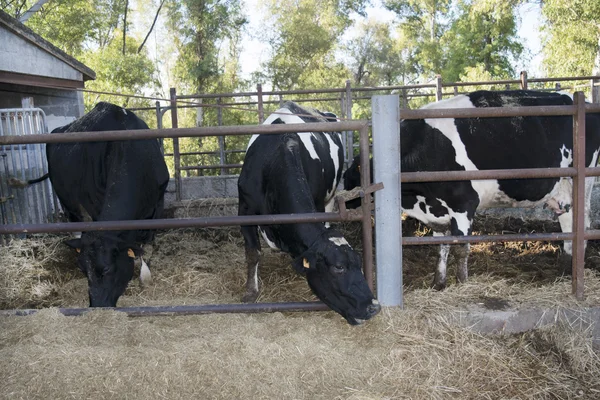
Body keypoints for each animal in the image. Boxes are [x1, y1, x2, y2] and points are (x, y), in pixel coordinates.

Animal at [11, 102, 169, 306]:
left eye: (107, 269)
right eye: (84, 271)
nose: (97, 306)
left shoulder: (158, 203)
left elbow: (148, 244)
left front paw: (146, 276)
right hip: (67, 202)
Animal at [236, 101, 380, 324]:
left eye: (359, 262)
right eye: (338, 267)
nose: (373, 307)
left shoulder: (318, 202)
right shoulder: (245, 209)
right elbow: (253, 253)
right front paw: (250, 293)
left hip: (330, 196)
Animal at [342, 90, 600, 290]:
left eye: (348, 177)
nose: (341, 202)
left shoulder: (463, 204)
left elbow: (461, 248)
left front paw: (462, 283)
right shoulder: (437, 209)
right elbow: (442, 246)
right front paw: (438, 283)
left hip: (581, 182)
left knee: (580, 224)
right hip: (562, 191)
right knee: (568, 225)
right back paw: (564, 273)